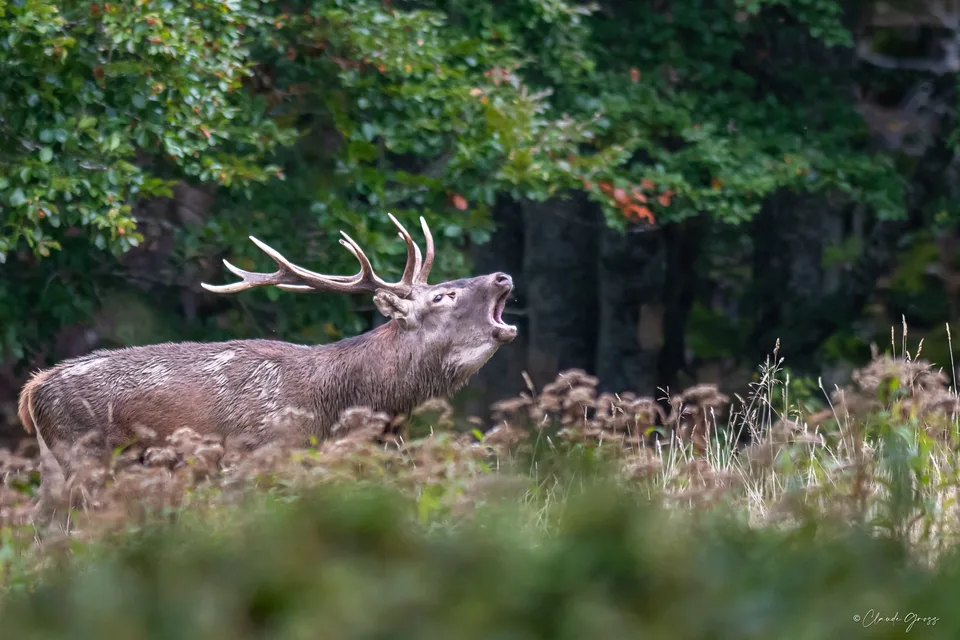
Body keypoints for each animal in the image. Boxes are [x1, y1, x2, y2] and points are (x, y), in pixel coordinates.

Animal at [18, 213, 517, 491]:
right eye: (443, 296)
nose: (502, 276)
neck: (337, 406)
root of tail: (33, 390)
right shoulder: (255, 454)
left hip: (55, 464)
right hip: (85, 455)